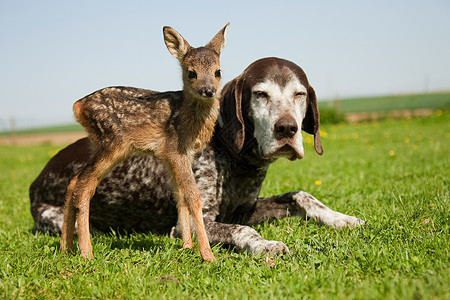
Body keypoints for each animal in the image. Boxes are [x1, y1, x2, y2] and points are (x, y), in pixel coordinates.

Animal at [30, 57, 362, 254]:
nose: (287, 129)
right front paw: (265, 245)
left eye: (300, 94)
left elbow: (301, 196)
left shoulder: (244, 209)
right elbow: (242, 230)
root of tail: (36, 179)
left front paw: (341, 217)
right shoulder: (189, 223)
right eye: (260, 94)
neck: (234, 157)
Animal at [60, 24, 229, 262]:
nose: (208, 91)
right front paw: (207, 255)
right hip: (112, 142)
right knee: (83, 186)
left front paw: (187, 246)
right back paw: (86, 252)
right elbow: (194, 197)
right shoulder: (176, 150)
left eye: (218, 71)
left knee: (74, 182)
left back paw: (65, 248)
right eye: (191, 73)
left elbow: (180, 197)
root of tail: (78, 106)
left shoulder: (173, 156)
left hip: (99, 144)